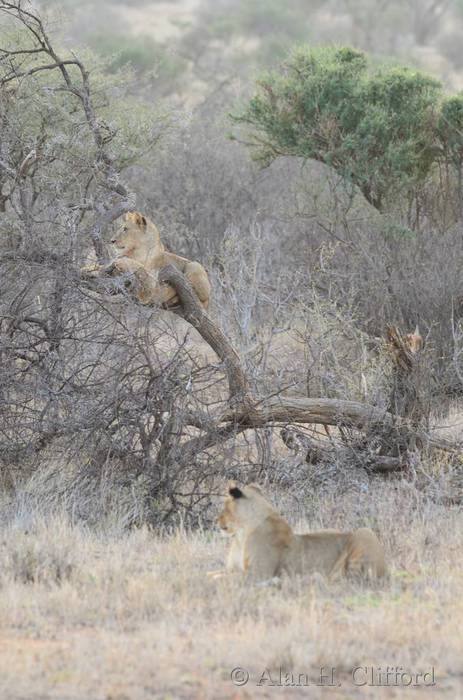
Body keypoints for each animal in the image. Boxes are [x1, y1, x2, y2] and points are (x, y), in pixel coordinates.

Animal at [82, 211, 211, 309]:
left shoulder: (151, 281)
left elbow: (138, 266)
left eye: (125, 229)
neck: (134, 251)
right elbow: (101, 267)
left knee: (198, 295)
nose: (112, 241)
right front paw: (85, 269)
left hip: (194, 265)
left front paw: (119, 262)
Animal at [207, 482, 387, 582]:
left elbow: (221, 578)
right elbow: (210, 573)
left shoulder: (259, 573)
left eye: (224, 506)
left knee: (353, 578)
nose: (215, 520)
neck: (241, 534)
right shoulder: (233, 569)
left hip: (364, 533)